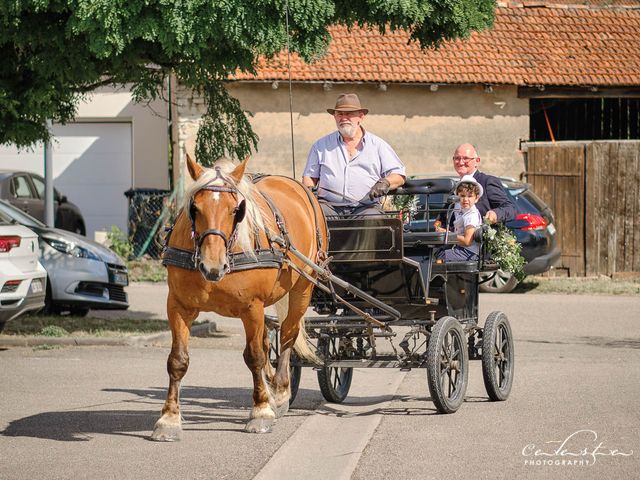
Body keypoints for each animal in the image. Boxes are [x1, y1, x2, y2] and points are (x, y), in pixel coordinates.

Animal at [152, 156, 328, 440]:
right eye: (194, 208)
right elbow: (177, 360)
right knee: (270, 339)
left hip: (302, 287)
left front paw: (261, 412)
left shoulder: (251, 307)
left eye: (236, 210)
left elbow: (254, 357)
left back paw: (280, 393)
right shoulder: (178, 306)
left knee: (288, 334)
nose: (212, 266)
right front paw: (169, 419)